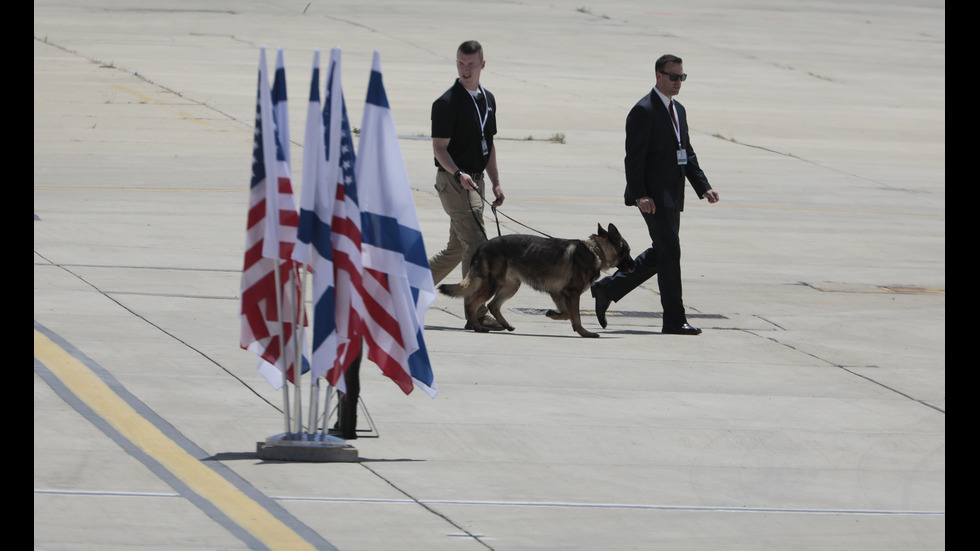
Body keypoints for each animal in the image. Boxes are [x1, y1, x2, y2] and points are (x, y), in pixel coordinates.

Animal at [438, 223, 636, 336]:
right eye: (628, 251)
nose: (634, 265)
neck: (596, 250)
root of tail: (482, 246)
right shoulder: (572, 293)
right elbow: (576, 316)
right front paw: (583, 332)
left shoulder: (558, 293)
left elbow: (567, 314)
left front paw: (554, 315)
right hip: (492, 285)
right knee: (472, 303)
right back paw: (477, 327)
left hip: (511, 286)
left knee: (492, 305)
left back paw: (505, 325)